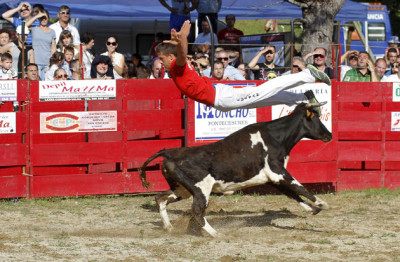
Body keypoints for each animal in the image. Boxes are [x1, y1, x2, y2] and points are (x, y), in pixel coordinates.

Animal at [139, 103, 332, 237]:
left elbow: (293, 194)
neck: (276, 137)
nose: (329, 135)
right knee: (197, 212)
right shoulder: (278, 172)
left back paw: (169, 227)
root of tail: (169, 152)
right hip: (201, 190)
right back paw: (216, 234)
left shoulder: (273, 179)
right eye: (316, 118)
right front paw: (322, 204)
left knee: (160, 199)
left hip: (182, 190)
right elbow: (300, 187)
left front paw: (313, 209)